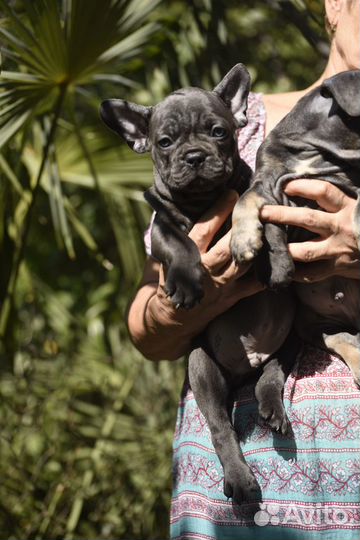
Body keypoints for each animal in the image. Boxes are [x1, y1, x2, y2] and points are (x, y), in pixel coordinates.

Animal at [100, 65, 294, 504]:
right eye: (165, 141)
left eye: (218, 131)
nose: (194, 155)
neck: (202, 200)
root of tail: (246, 367)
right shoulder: (161, 226)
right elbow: (180, 243)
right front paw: (187, 283)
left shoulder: (256, 193)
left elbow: (263, 218)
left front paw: (274, 261)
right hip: (201, 365)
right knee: (221, 426)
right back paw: (240, 479)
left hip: (290, 342)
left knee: (272, 376)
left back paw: (271, 409)